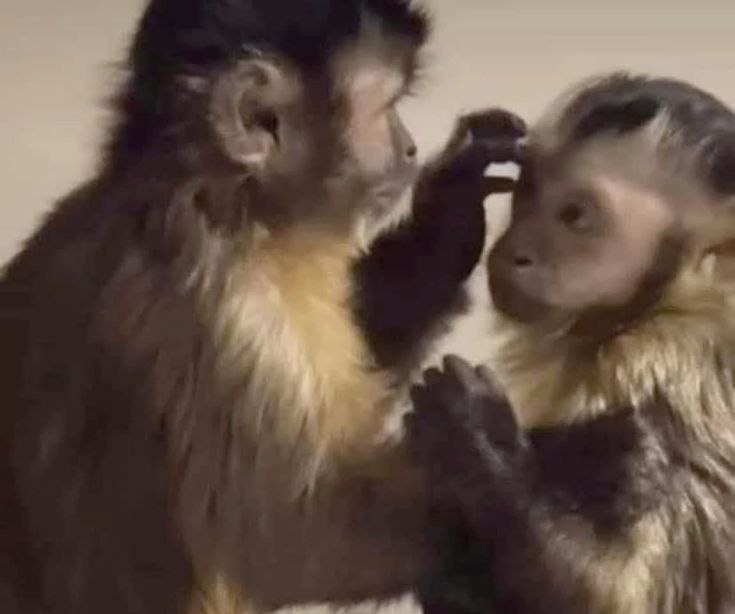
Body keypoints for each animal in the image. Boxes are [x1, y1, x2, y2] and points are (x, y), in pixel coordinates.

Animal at [0, 0, 527, 612]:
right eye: (387, 110)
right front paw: (493, 465)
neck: (217, 205)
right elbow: (294, 541)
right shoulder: (221, 309)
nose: (412, 148)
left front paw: (450, 219)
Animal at [407, 72, 735, 614]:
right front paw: (452, 201)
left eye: (574, 215)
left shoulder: (657, 366)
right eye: (528, 192)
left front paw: (481, 443)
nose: (514, 253)